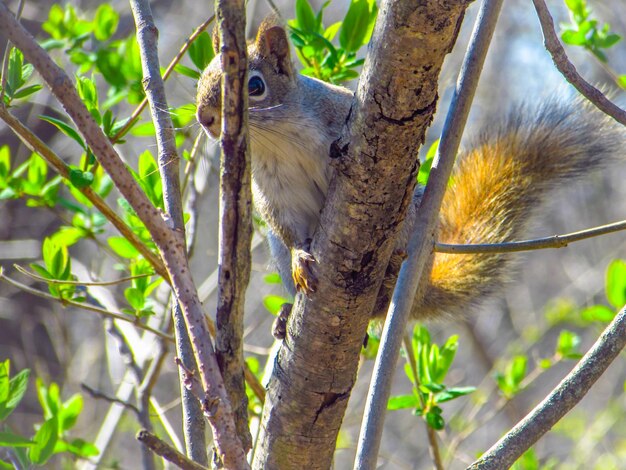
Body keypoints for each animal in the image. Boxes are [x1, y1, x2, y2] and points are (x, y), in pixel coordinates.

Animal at [194, 17, 620, 334]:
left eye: (254, 86)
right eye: (201, 78)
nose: (205, 118)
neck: (279, 140)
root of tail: (418, 290)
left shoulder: (338, 117)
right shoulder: (274, 191)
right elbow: (288, 228)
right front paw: (302, 258)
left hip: (408, 228)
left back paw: (385, 286)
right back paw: (285, 314)